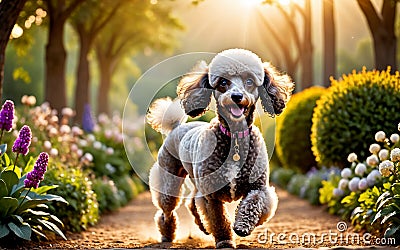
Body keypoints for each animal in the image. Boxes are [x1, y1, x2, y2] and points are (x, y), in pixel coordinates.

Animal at [145, 48, 292, 248]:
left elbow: (254, 203)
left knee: (192, 202)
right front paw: (224, 241)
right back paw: (167, 234)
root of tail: (176, 127)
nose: (237, 96)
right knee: (167, 210)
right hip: (170, 181)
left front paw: (243, 226)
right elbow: (219, 218)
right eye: (223, 82)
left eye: (249, 81)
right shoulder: (212, 194)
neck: (234, 139)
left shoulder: (259, 187)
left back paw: (203, 227)